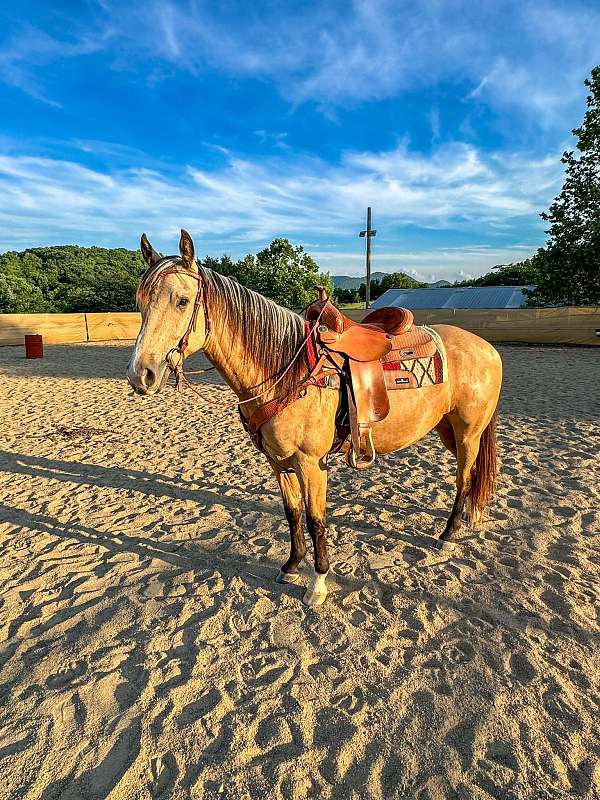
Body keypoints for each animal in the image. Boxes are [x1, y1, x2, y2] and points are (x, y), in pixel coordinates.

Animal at [126, 231, 502, 608]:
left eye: (182, 301)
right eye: (140, 302)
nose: (140, 375)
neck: (286, 371)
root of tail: (486, 346)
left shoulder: (310, 462)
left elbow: (315, 519)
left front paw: (318, 583)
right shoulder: (278, 462)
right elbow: (292, 513)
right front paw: (292, 565)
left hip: (467, 432)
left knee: (463, 479)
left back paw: (449, 534)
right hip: (448, 430)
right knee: (471, 475)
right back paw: (470, 517)